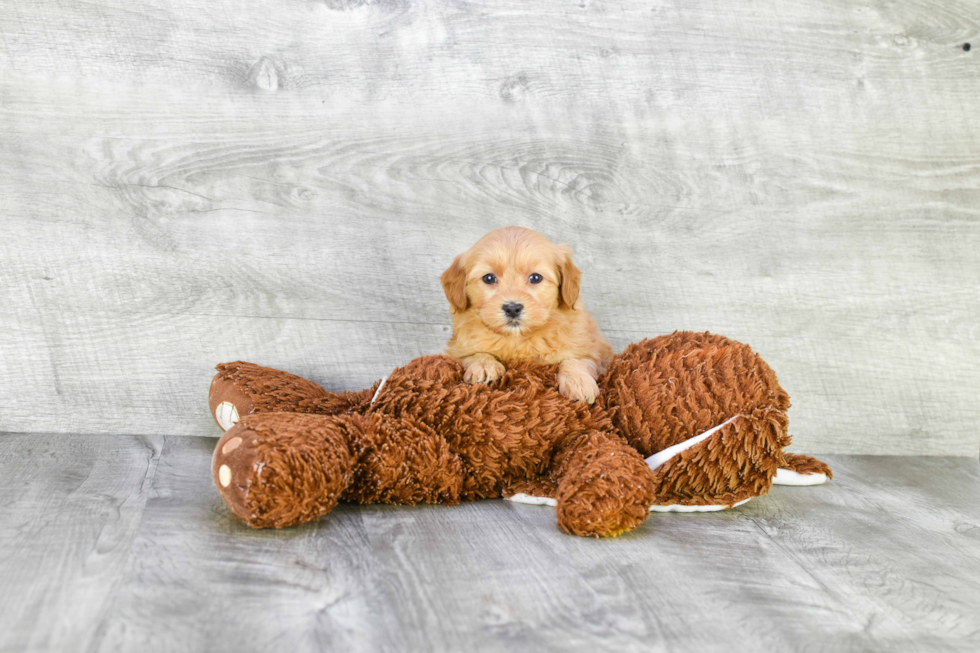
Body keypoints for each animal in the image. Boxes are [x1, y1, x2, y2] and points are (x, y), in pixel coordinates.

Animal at [438, 228, 608, 402]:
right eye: (489, 278)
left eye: (535, 277)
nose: (512, 308)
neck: (517, 339)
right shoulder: (456, 350)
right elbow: (473, 353)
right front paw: (484, 365)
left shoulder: (591, 351)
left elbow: (576, 360)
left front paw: (579, 383)